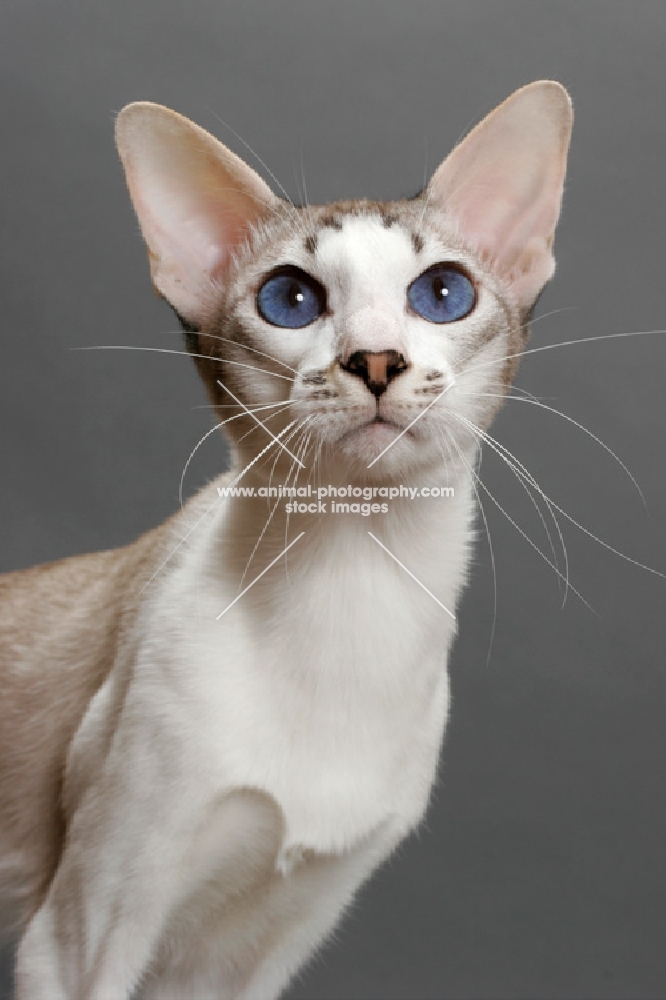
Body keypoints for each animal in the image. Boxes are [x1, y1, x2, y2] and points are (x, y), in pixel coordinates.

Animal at [0, 82, 572, 996]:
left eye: (443, 293)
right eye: (290, 302)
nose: (375, 361)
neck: (355, 596)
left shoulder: (252, 953)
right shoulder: (79, 937)